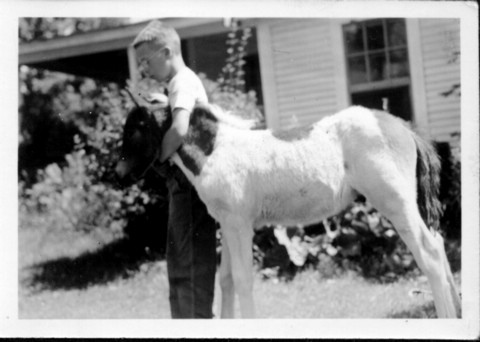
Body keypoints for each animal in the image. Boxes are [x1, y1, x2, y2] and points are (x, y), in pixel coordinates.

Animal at [116, 98, 462, 318]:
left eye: (134, 129)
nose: (118, 175)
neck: (217, 150)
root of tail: (402, 126)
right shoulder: (227, 225)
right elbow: (227, 280)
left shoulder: (240, 226)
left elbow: (243, 280)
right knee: (438, 244)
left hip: (394, 203)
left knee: (429, 254)